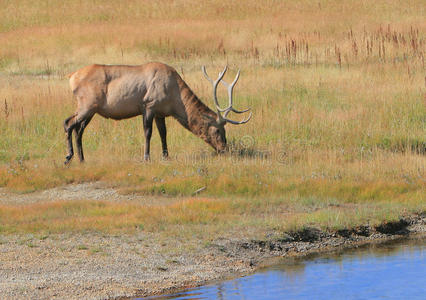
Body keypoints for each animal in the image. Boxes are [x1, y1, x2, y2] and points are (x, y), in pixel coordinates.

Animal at [62, 61, 250, 164]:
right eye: (217, 130)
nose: (224, 148)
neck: (174, 100)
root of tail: (71, 76)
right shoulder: (149, 105)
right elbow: (148, 133)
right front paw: (146, 156)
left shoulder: (161, 112)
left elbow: (163, 134)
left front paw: (166, 156)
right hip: (87, 104)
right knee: (68, 123)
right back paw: (68, 156)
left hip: (91, 110)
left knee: (78, 130)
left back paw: (82, 159)